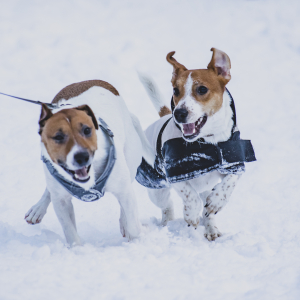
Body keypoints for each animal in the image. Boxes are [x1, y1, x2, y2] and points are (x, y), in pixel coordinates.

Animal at [24, 79, 154, 246]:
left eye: (87, 130)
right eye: (58, 136)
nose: (82, 156)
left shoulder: (123, 189)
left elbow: (132, 222)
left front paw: (137, 238)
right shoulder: (61, 202)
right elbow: (70, 232)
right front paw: (77, 249)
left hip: (130, 163)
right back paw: (38, 208)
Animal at [138, 48, 255, 240]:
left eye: (202, 89)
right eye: (175, 90)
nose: (179, 113)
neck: (208, 142)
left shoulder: (234, 161)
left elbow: (228, 182)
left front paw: (216, 201)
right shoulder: (174, 172)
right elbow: (189, 195)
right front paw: (191, 214)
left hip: (204, 188)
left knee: (207, 210)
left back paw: (211, 228)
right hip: (156, 189)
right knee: (167, 204)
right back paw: (168, 223)